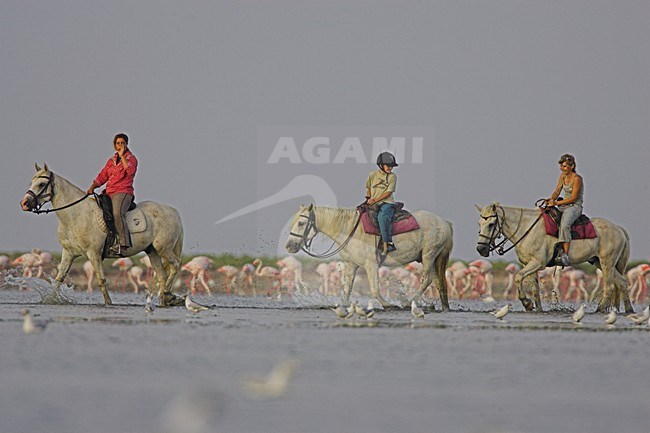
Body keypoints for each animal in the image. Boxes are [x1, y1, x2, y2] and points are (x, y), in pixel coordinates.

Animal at [21, 164, 184, 306]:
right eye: (32, 182)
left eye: (42, 184)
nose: (24, 203)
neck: (76, 214)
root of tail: (173, 211)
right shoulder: (68, 253)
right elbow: (59, 279)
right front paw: (50, 299)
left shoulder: (94, 253)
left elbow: (101, 280)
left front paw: (109, 303)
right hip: (152, 251)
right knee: (162, 276)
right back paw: (165, 298)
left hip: (164, 249)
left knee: (175, 264)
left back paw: (168, 295)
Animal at [284, 205, 450, 308]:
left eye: (301, 223)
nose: (289, 246)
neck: (350, 230)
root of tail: (445, 223)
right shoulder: (351, 264)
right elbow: (347, 290)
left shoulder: (371, 264)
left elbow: (375, 289)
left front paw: (388, 305)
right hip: (433, 258)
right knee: (438, 282)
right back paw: (443, 306)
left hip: (429, 255)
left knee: (427, 279)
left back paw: (408, 303)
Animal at [474, 202, 632, 314]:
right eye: (479, 224)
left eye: (491, 224)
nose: (480, 249)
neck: (527, 229)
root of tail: (619, 229)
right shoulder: (529, 264)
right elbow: (535, 288)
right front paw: (537, 308)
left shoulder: (537, 263)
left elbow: (518, 277)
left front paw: (527, 303)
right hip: (600, 262)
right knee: (622, 283)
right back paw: (629, 310)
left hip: (607, 263)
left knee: (610, 286)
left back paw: (600, 309)